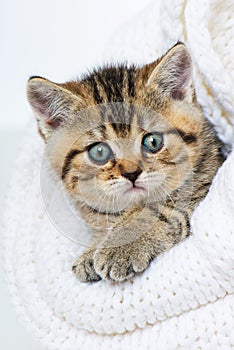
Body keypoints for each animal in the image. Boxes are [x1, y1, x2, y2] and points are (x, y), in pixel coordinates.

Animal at [26, 43, 224, 284]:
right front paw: (93, 250)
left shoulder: (204, 182)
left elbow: (159, 207)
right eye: (99, 152)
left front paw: (122, 243)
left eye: (153, 141)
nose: (131, 173)